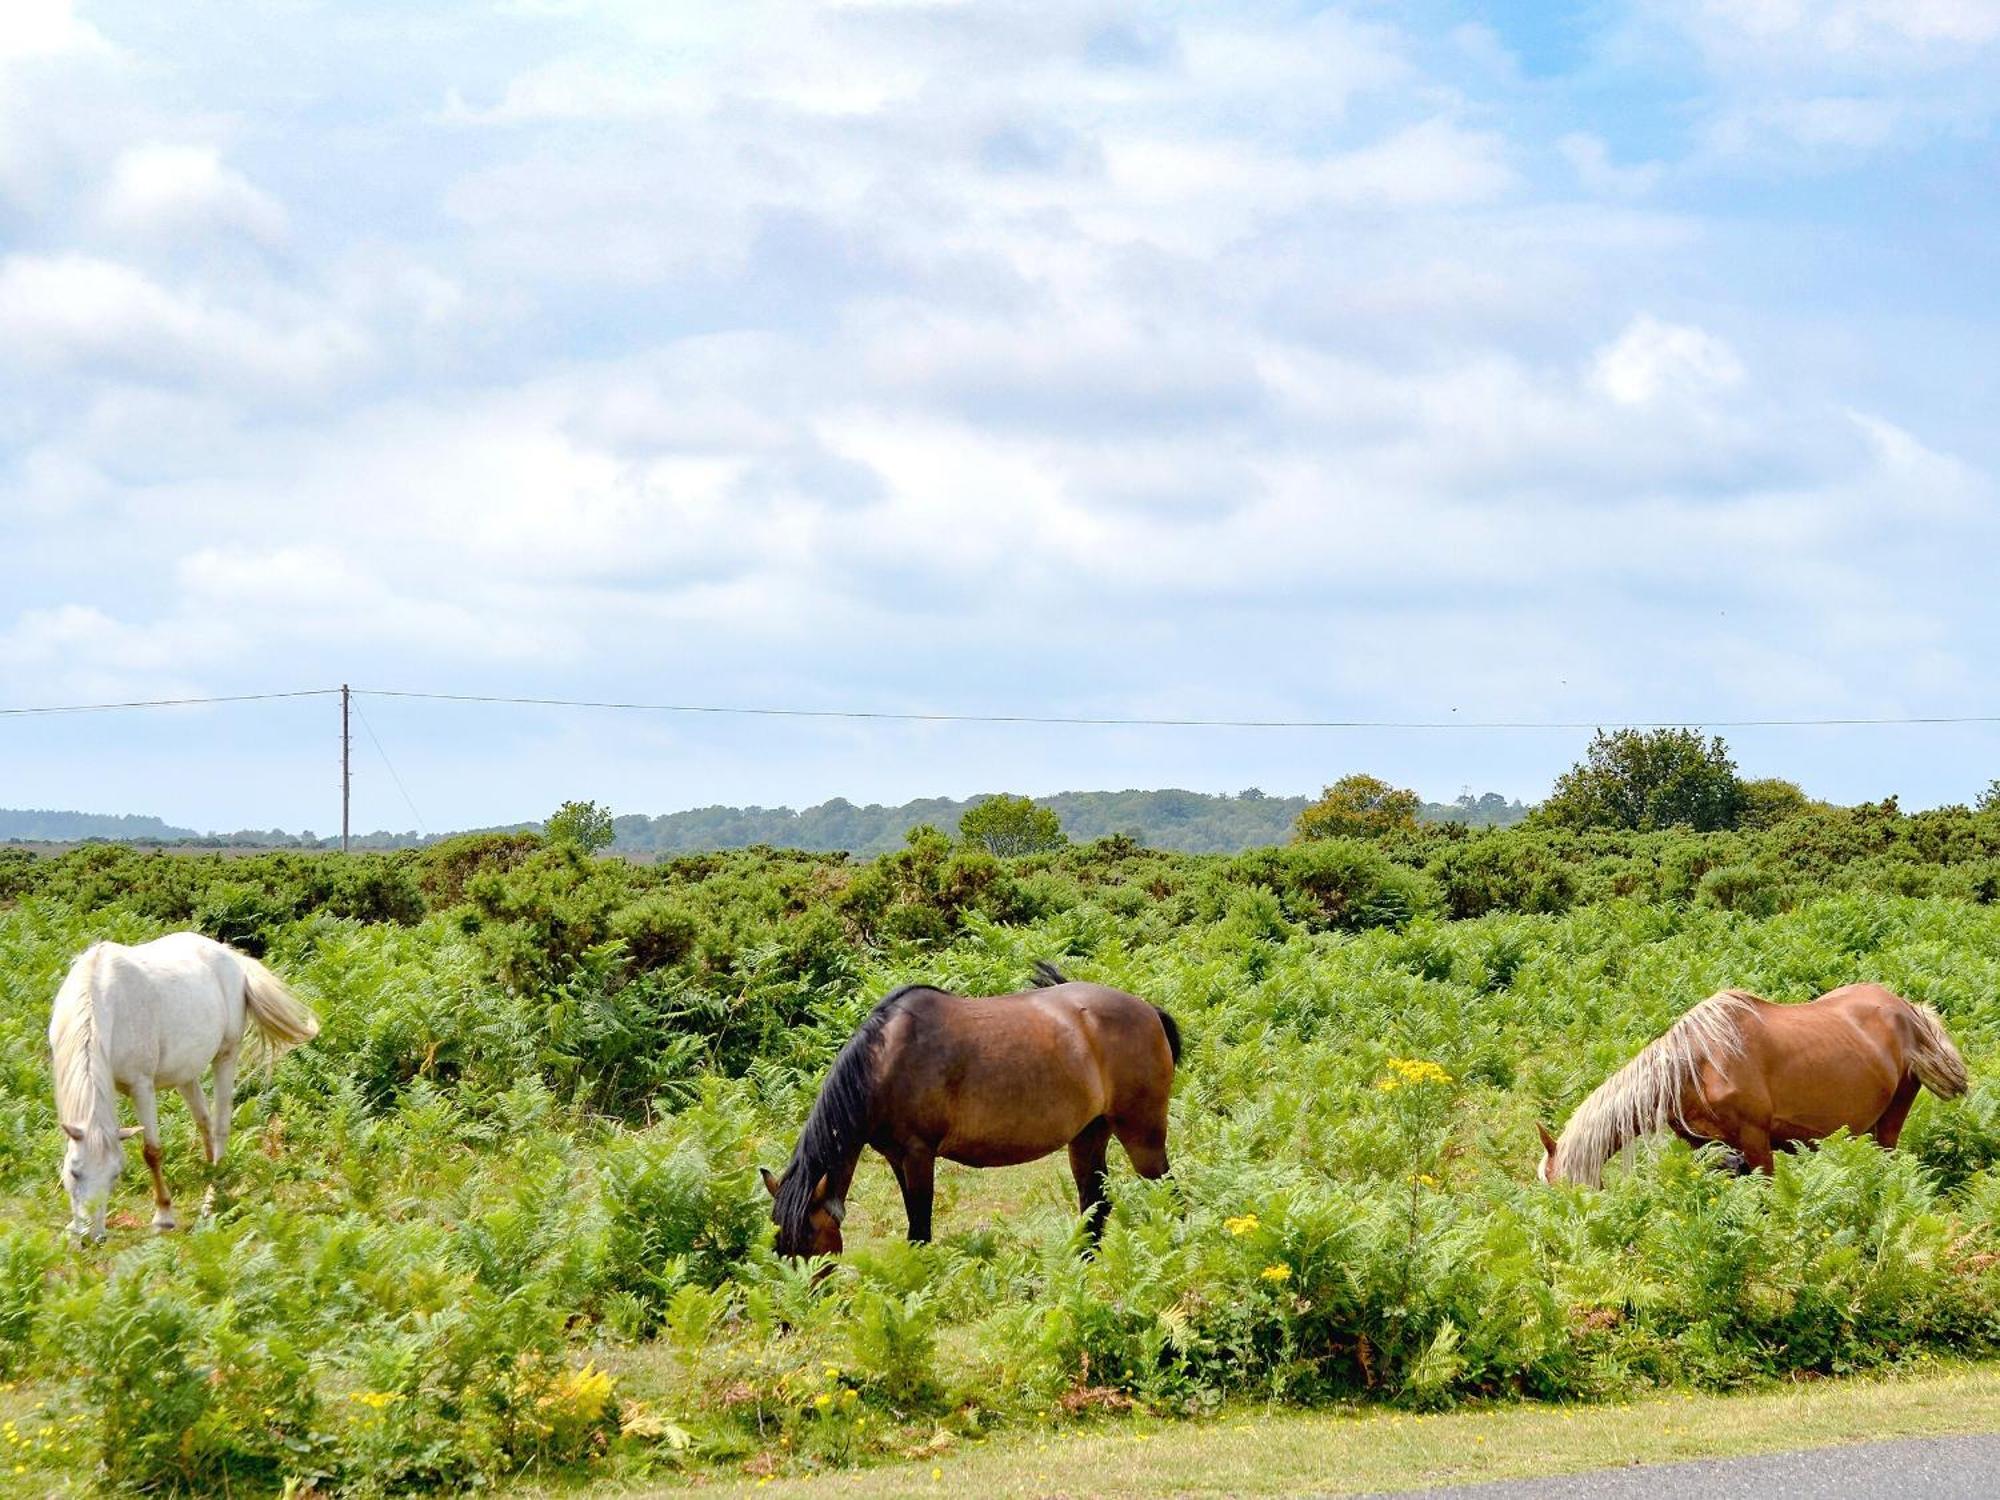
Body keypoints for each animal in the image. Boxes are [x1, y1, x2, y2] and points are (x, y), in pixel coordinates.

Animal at [47, 940, 316, 1248]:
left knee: (220, 1126)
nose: (93, 1238)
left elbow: (151, 1152)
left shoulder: (141, 1086)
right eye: (74, 1171)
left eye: (116, 1174)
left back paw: (212, 1197)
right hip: (186, 1075)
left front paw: (163, 1216)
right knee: (204, 1121)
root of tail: (231, 956)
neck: (99, 998)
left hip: (226, 1056)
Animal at [760, 964, 1168, 1256]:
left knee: (1167, 1191)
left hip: (1142, 1134)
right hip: (1088, 1135)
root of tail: (1149, 1010)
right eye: (778, 1244)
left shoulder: (918, 1154)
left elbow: (920, 1230)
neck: (885, 1064)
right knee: (1094, 1203)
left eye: (810, 1242)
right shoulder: (896, 1157)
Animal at [1536, 988, 1960, 1184]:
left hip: (1890, 1122)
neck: (1698, 1064)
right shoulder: (1706, 1147)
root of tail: (1909, 1012)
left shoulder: (1757, 1142)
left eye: (1567, 1185)